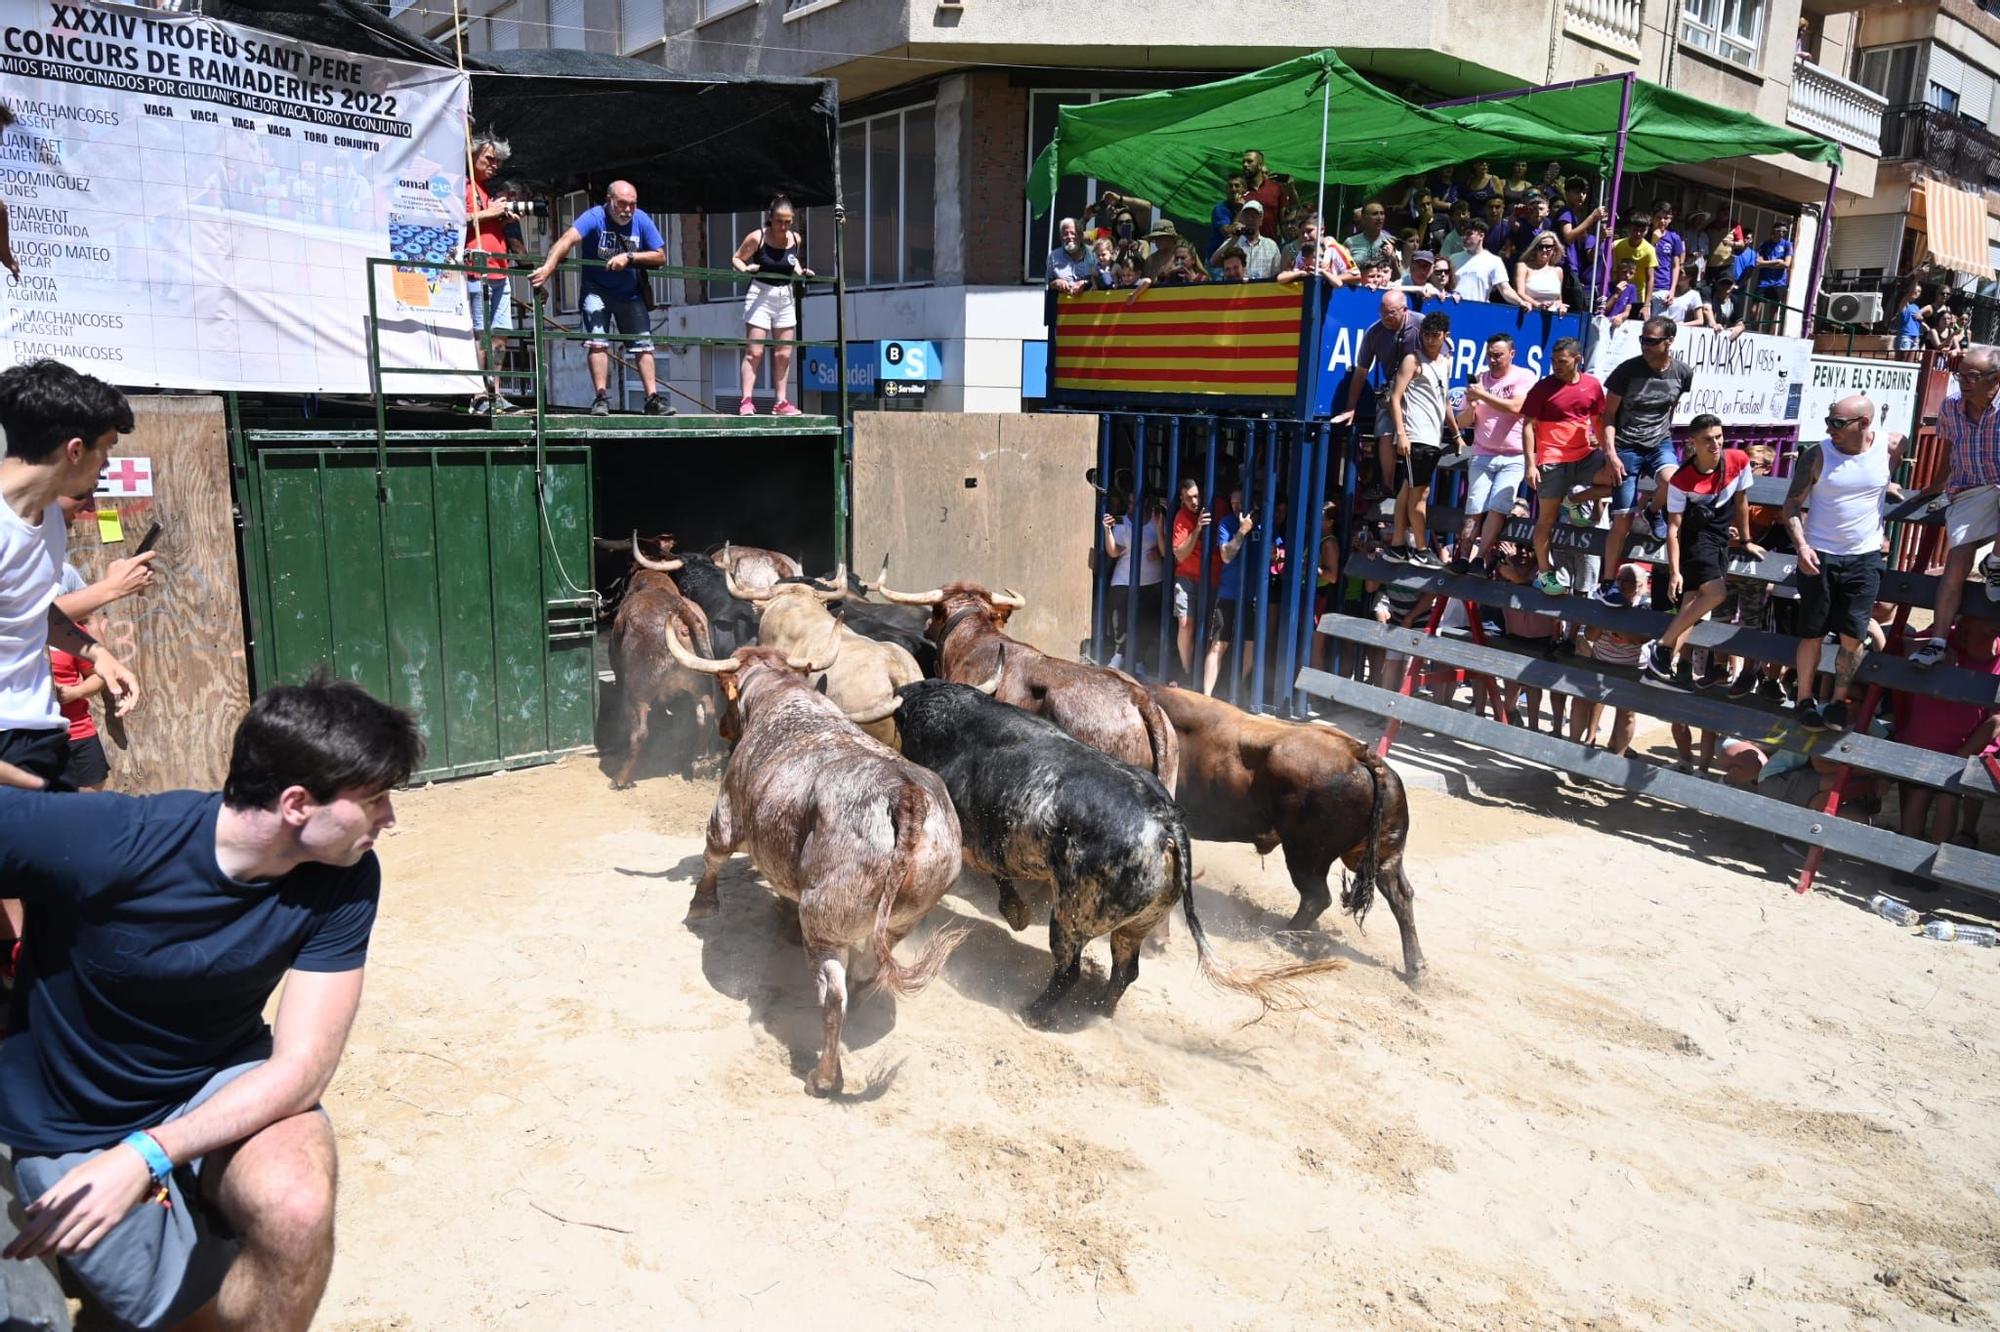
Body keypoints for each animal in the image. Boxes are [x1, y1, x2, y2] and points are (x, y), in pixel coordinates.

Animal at [608, 540, 720, 788]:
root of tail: (678, 609)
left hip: (638, 691)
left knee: (640, 732)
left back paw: (621, 777)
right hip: (699, 682)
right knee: (706, 713)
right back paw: (699, 762)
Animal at [672, 628, 968, 1096]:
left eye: (724, 688)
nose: (722, 727)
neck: (781, 693)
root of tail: (905, 797)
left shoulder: (729, 805)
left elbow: (715, 851)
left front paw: (702, 905)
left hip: (825, 919)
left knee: (833, 995)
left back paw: (824, 1076)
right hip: (910, 910)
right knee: (868, 971)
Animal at [1160, 684, 1424, 976]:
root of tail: (1360, 753)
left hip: (1305, 854)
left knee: (1317, 897)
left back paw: (1281, 934)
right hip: (1382, 854)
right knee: (1401, 895)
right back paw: (1416, 967)